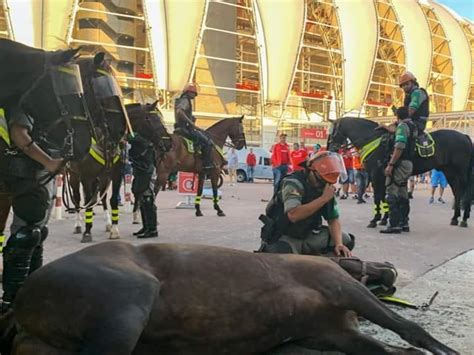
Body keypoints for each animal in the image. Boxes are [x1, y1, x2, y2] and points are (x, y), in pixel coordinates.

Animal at [330, 117, 474, 228]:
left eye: (332, 133)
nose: (330, 149)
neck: (372, 139)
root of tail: (465, 136)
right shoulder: (384, 176)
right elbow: (384, 197)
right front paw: (384, 219)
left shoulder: (376, 175)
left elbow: (378, 197)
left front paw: (375, 219)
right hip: (450, 173)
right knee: (457, 192)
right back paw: (455, 218)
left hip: (461, 173)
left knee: (466, 193)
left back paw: (464, 219)